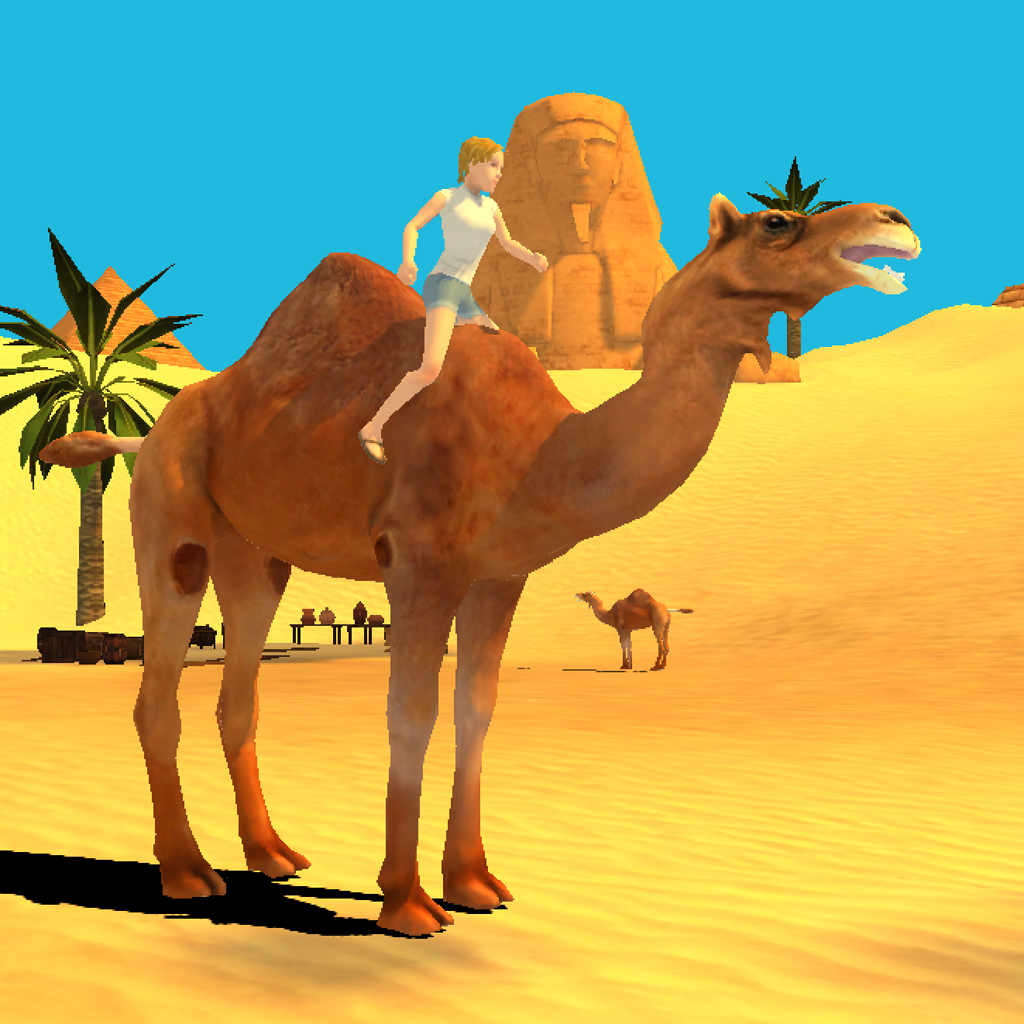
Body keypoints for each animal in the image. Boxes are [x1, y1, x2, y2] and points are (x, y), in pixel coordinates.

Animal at [39, 193, 921, 937]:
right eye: (777, 223)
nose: (896, 219)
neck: (545, 451)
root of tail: (144, 434)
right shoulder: (420, 562)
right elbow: (411, 715)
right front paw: (407, 903)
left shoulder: (500, 573)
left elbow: (477, 711)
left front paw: (474, 882)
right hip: (174, 521)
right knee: (159, 695)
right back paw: (188, 873)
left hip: (256, 554)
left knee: (239, 695)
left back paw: (273, 854)